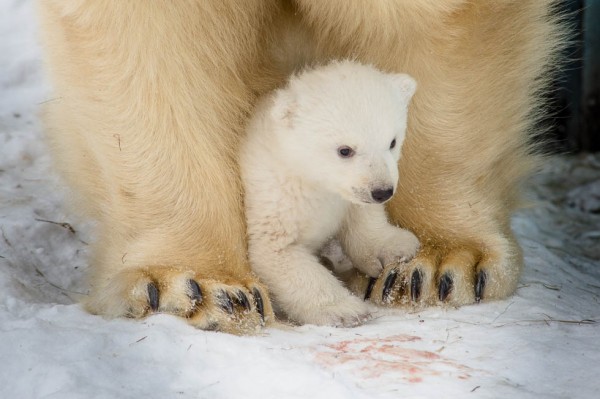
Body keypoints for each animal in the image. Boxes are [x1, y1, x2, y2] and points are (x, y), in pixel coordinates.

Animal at [37, 0, 564, 334]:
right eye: (343, 150)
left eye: (393, 141)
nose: (381, 190)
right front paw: (197, 287)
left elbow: (438, 22)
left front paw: (437, 264)